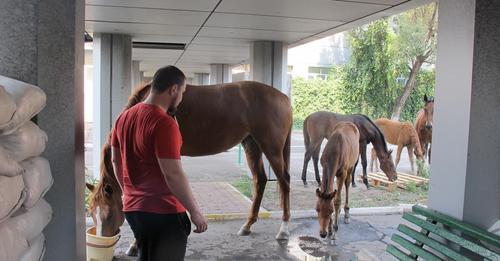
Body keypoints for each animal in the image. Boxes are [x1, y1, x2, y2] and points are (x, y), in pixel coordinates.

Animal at [87, 80, 292, 254]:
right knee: (260, 180)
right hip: (252, 144)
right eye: (91, 212)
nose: (102, 241)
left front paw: (135, 244)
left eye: (109, 213)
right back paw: (247, 226)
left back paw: (283, 230)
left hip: (272, 148)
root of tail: (283, 97)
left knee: (284, 181)